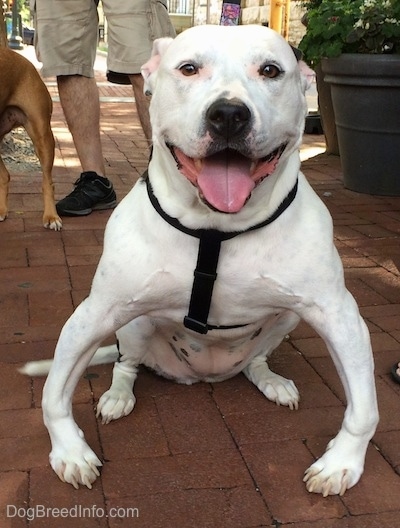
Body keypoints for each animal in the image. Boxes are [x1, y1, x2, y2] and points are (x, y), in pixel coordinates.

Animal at [21, 24, 378, 496]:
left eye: (270, 70)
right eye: (188, 68)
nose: (228, 114)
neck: (218, 230)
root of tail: (203, 375)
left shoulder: (338, 315)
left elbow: (365, 408)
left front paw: (342, 463)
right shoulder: (95, 313)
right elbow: (54, 394)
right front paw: (70, 452)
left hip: (285, 319)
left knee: (256, 360)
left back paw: (271, 382)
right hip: (134, 325)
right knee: (124, 364)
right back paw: (118, 396)